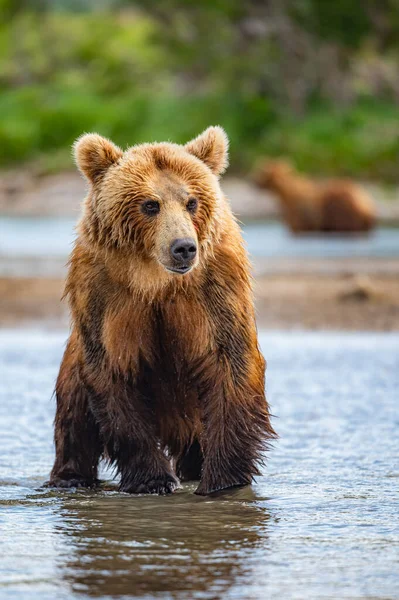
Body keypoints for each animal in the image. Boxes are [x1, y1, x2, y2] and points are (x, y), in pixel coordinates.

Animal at [47, 124, 276, 494]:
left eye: (192, 201)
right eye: (150, 204)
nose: (183, 247)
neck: (158, 282)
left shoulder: (216, 291)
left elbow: (230, 364)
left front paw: (222, 481)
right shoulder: (105, 296)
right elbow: (113, 373)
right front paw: (152, 479)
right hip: (73, 363)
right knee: (74, 416)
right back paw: (70, 478)